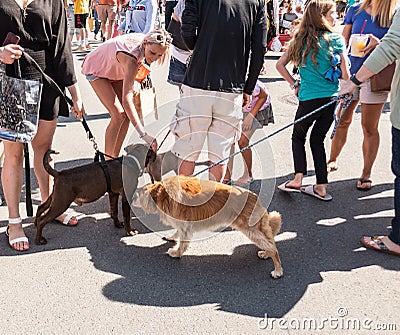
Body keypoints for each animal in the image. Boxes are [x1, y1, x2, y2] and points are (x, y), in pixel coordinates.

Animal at [133, 176, 282, 278]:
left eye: (137, 195)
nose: (131, 199)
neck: (161, 193)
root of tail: (255, 197)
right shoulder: (182, 224)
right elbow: (177, 233)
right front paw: (171, 237)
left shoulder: (185, 225)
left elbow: (182, 242)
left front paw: (176, 253)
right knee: (270, 241)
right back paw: (265, 254)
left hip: (250, 229)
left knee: (273, 248)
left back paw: (278, 270)